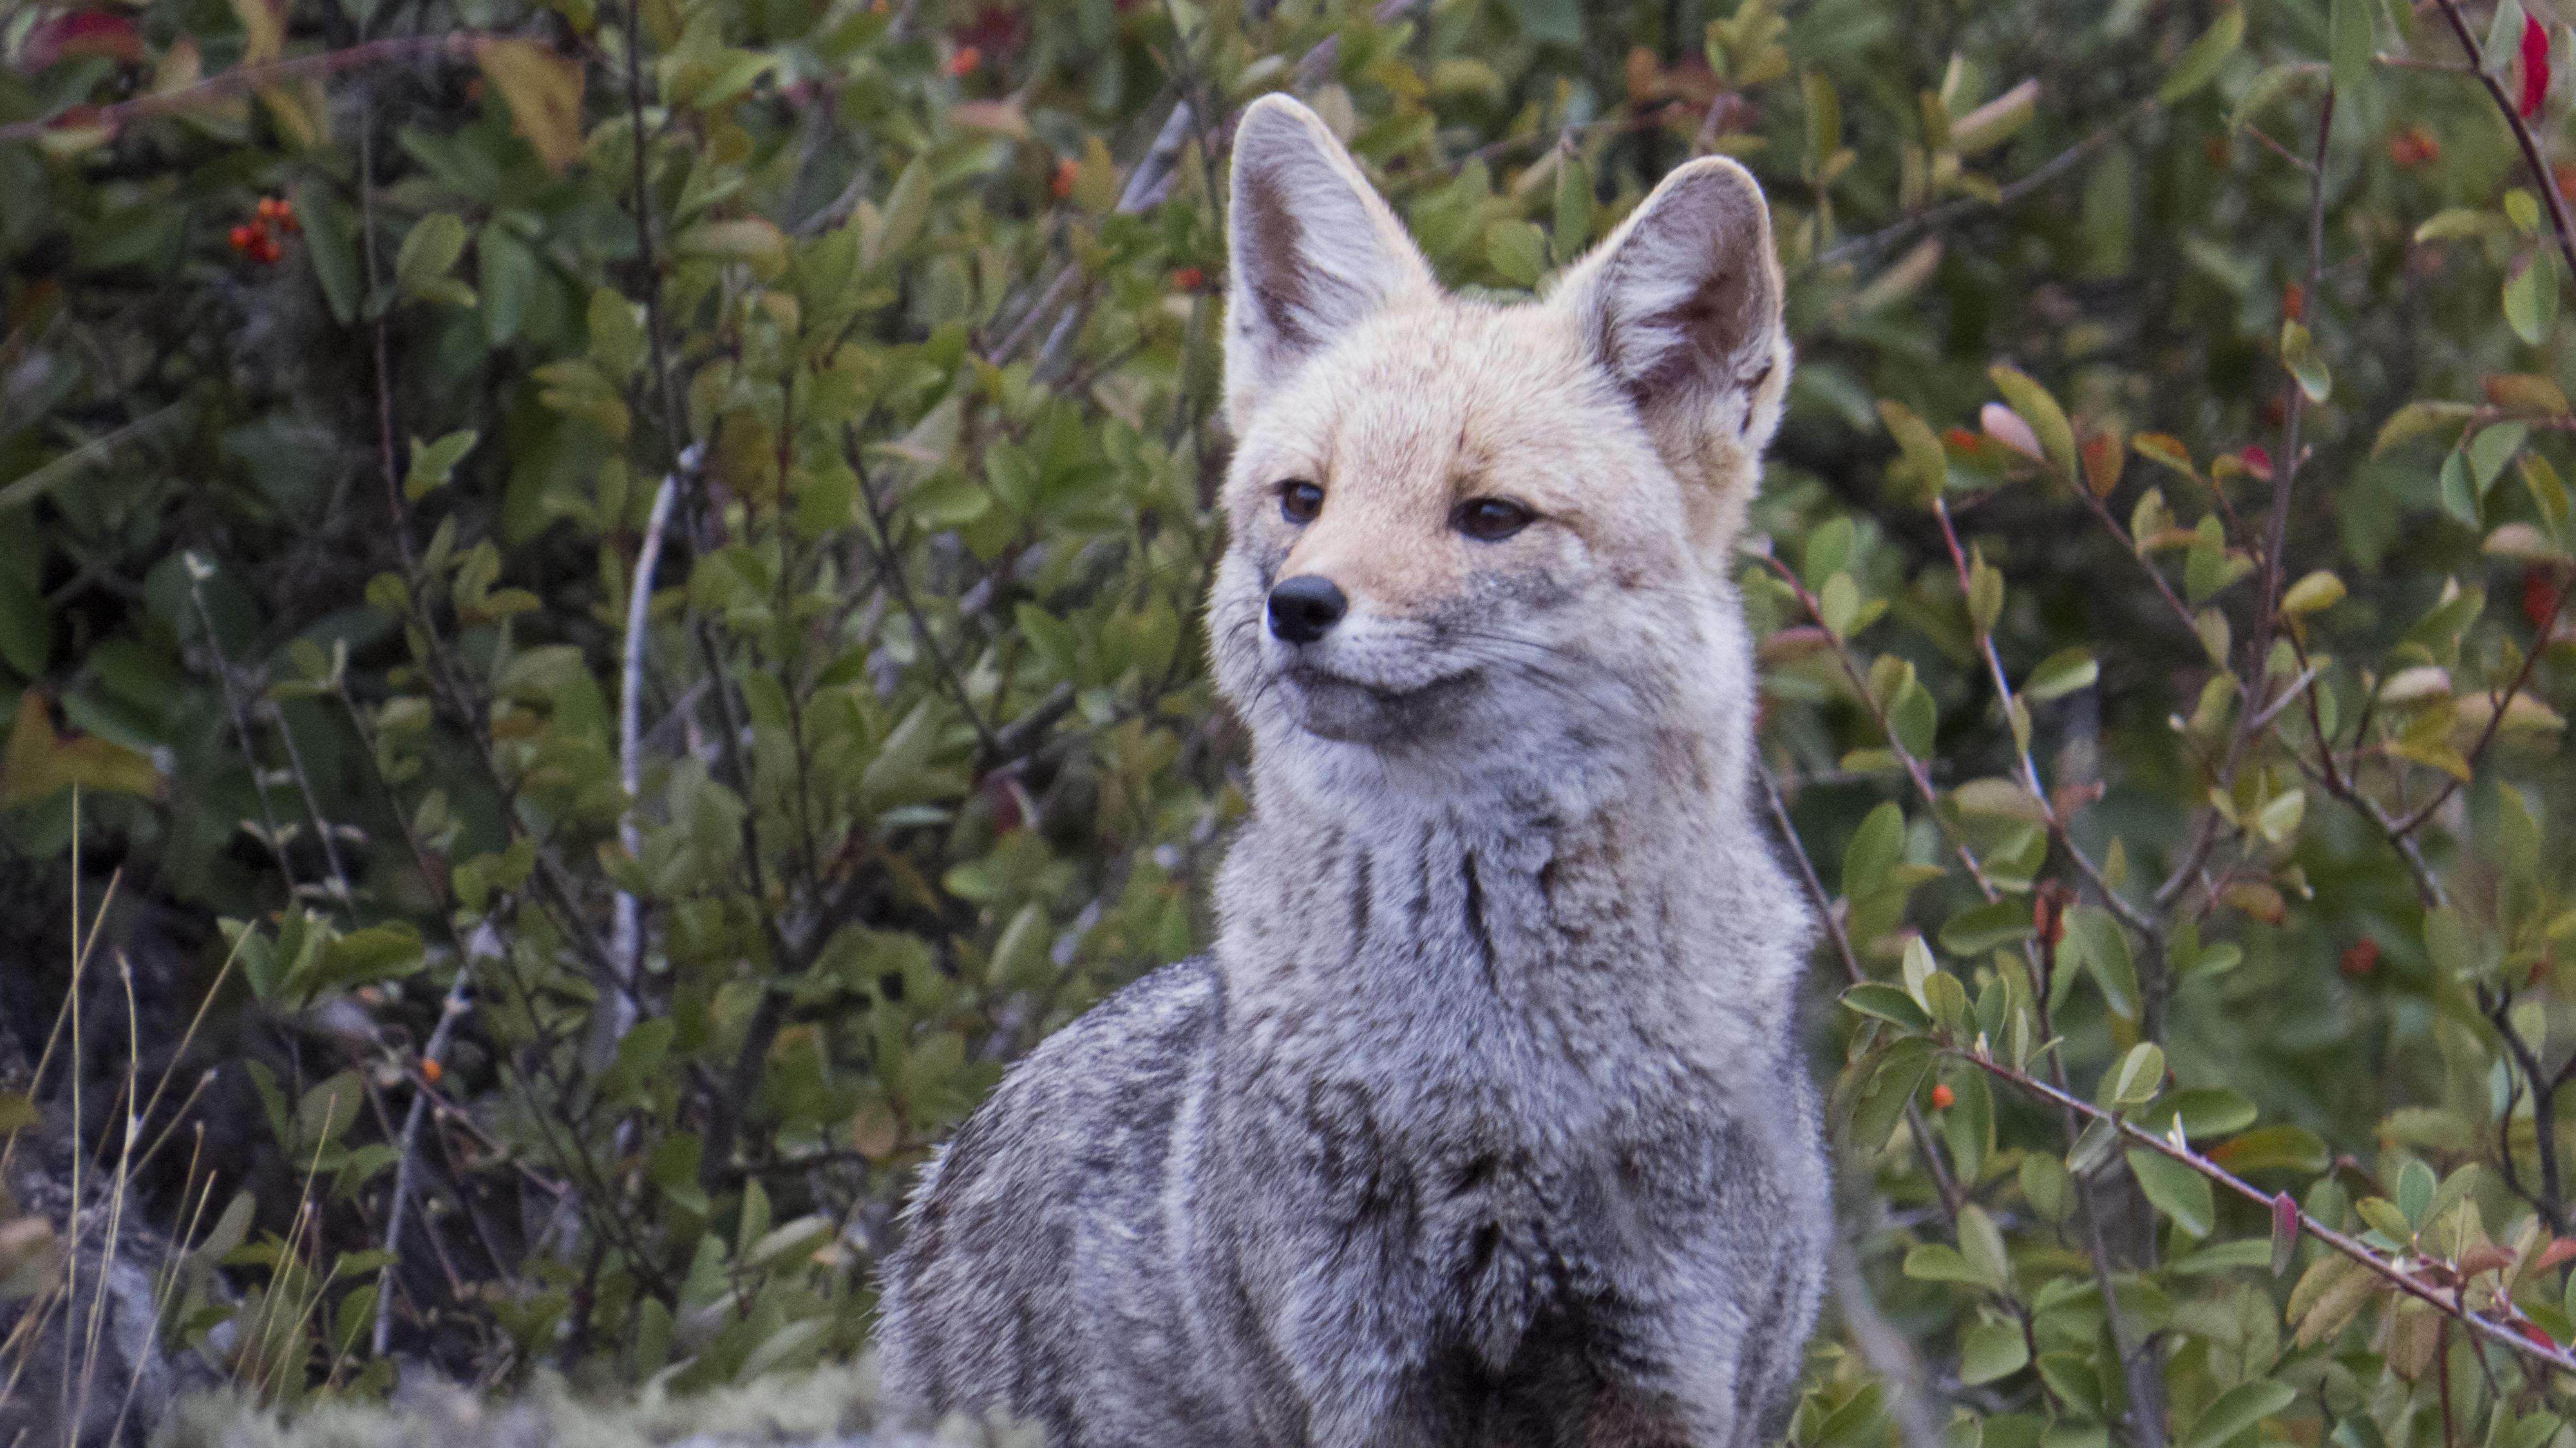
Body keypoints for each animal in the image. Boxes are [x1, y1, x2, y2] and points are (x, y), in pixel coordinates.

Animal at [886, 93, 1834, 1443]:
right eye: (1303, 498)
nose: (1299, 606)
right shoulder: (1364, 1378)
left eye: (1489, 516)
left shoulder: (1667, 1375)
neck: (1486, 1085)